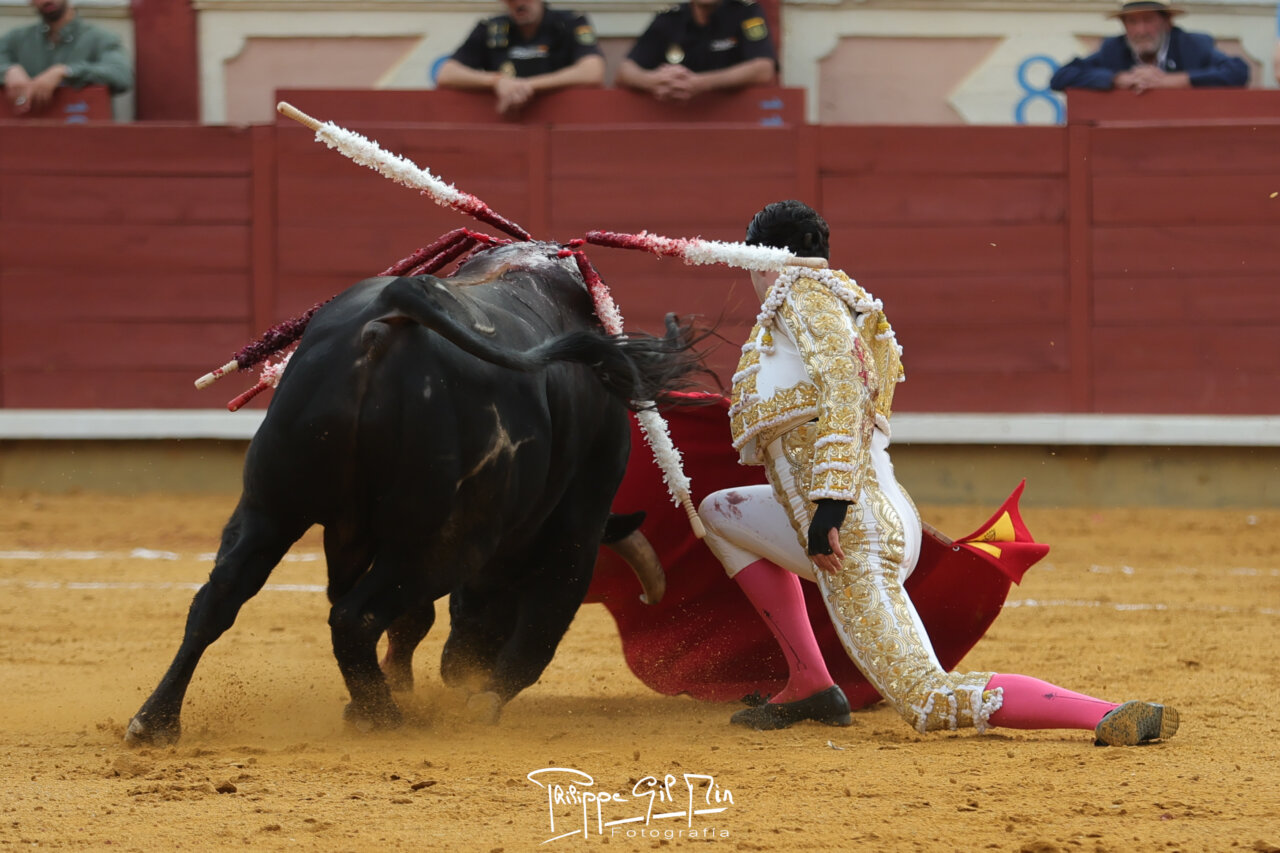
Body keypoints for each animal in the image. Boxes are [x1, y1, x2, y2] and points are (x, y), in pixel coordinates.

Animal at [125, 241, 702, 746]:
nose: (457, 669)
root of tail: (393, 308)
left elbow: (411, 618)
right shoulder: (577, 525)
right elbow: (539, 629)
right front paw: (480, 699)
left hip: (270, 506)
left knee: (219, 599)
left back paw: (155, 721)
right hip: (446, 541)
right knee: (353, 617)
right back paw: (383, 718)